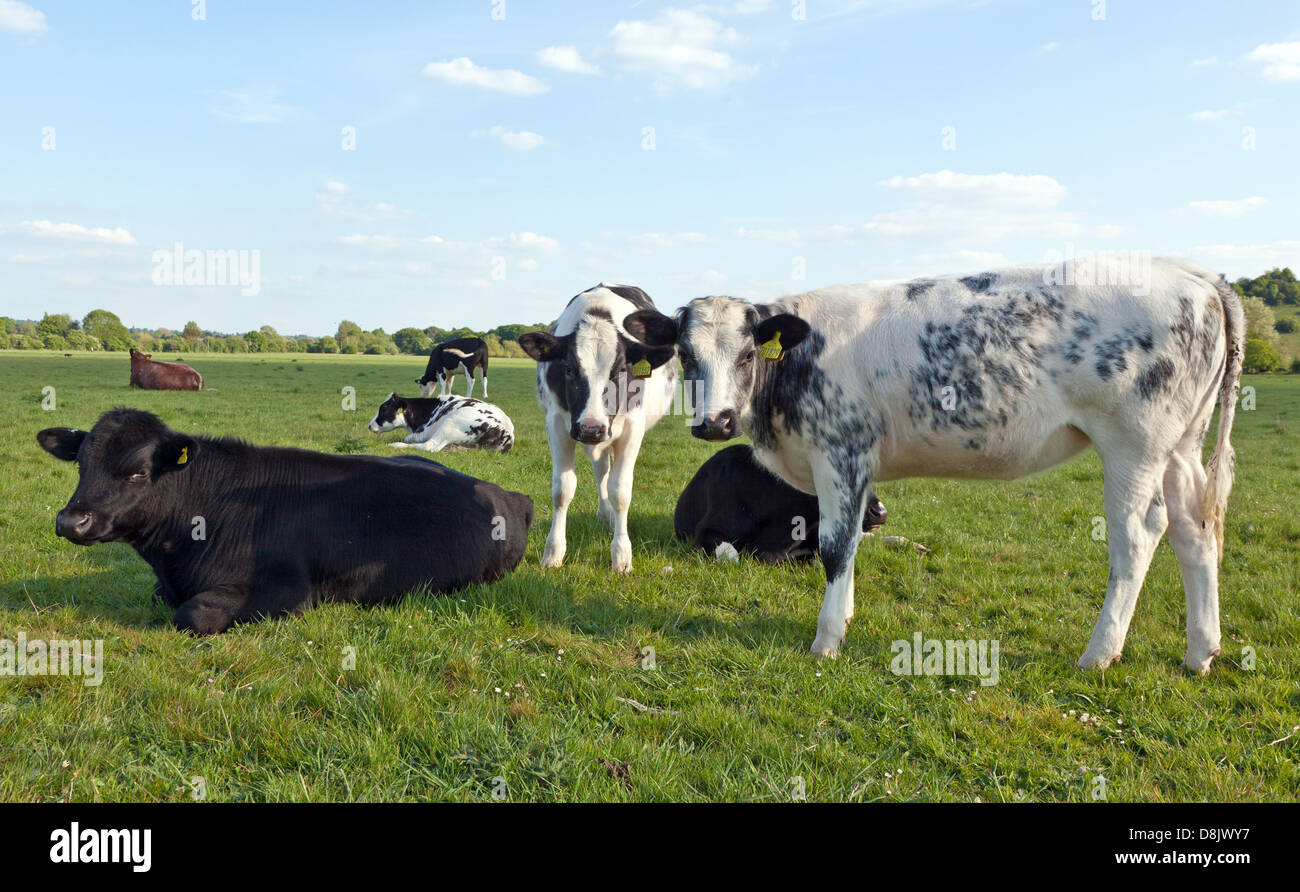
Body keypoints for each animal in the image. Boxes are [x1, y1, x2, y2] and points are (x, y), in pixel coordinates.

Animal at [366, 392, 512, 455]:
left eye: (384, 409)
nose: (369, 425)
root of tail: (506, 429)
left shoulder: (423, 432)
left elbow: (409, 438)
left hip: (449, 424)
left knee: (429, 446)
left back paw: (396, 445)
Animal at [517, 288, 681, 579]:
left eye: (621, 370)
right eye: (569, 369)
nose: (591, 427)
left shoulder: (632, 429)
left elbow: (621, 491)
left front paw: (622, 556)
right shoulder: (557, 424)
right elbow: (563, 490)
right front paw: (553, 553)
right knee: (601, 471)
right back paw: (605, 515)